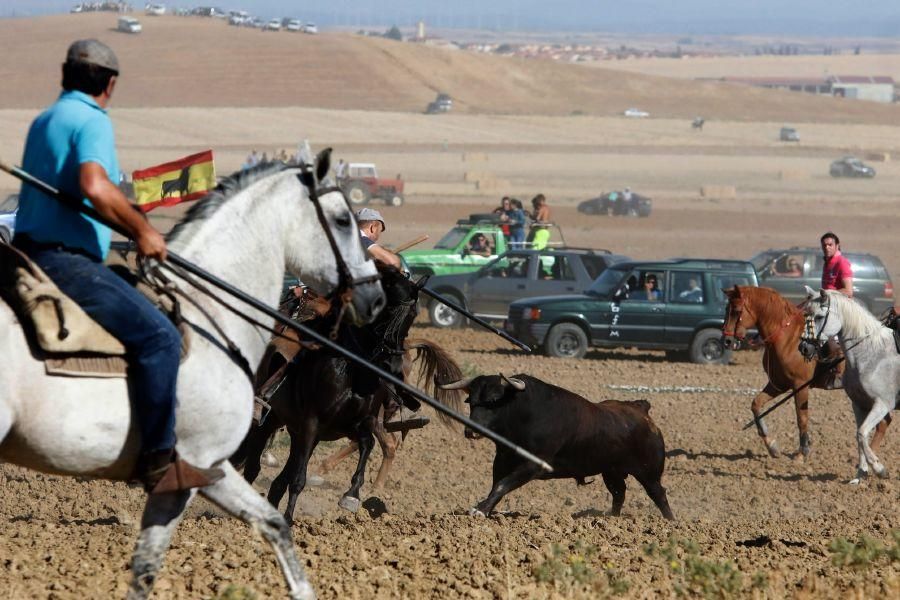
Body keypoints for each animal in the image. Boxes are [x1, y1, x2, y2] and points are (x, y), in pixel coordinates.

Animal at [0, 161, 384, 600]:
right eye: (342, 220)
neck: (208, 319)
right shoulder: (199, 464)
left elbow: (269, 523)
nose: (375, 297)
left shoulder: (210, 468)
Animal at [442, 372, 676, 516]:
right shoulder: (501, 461)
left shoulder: (533, 465)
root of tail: (641, 409)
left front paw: (481, 510)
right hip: (612, 472)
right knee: (619, 493)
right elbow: (497, 484)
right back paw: (611, 518)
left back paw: (670, 522)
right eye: (470, 401)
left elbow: (502, 484)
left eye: (492, 400)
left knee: (659, 495)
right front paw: (487, 508)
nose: (470, 431)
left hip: (649, 473)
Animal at [720, 286, 888, 460]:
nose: (727, 341)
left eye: (736, 310)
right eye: (726, 309)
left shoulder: (799, 385)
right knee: (883, 423)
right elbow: (756, 405)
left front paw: (802, 452)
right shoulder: (778, 385)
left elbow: (802, 418)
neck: (786, 339)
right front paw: (772, 446)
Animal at [804, 286, 896, 482]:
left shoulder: (883, 404)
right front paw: (860, 473)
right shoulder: (859, 404)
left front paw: (879, 469)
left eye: (819, 317)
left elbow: (862, 433)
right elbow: (859, 434)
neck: (871, 354)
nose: (804, 348)